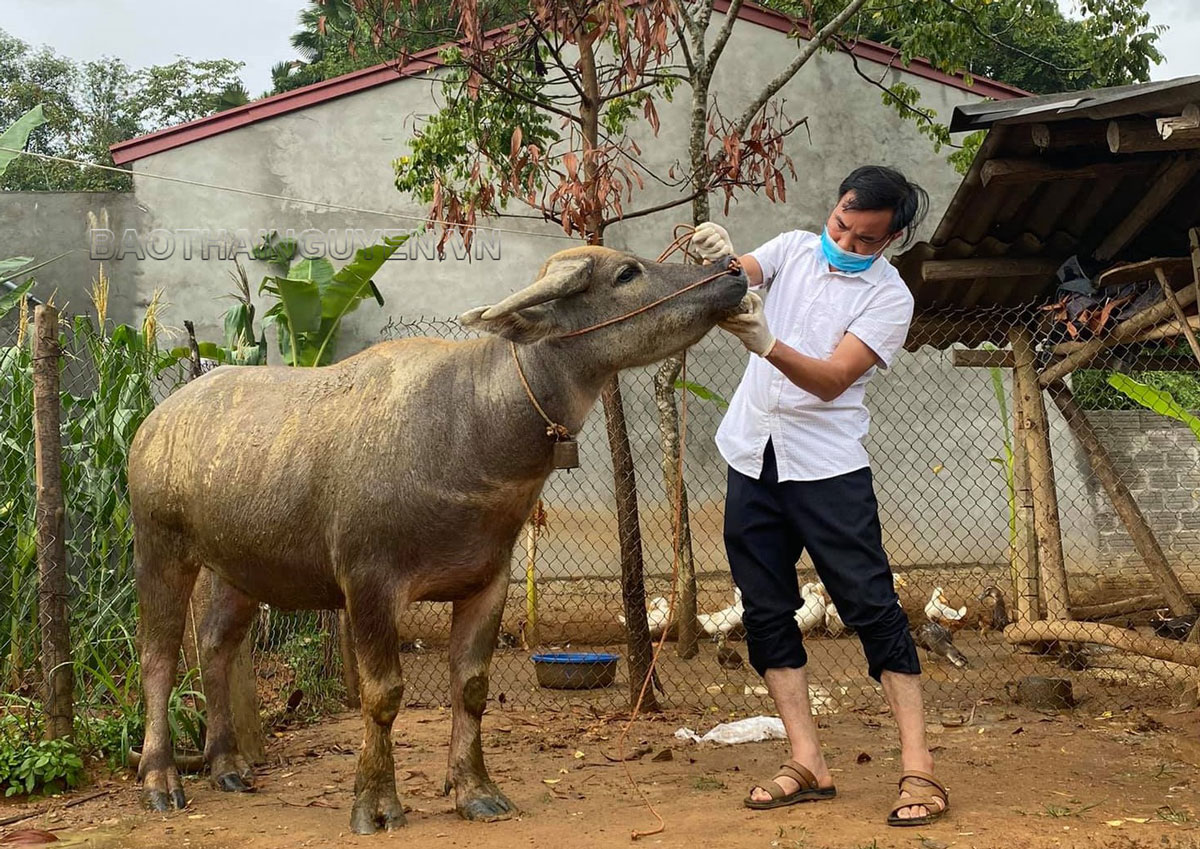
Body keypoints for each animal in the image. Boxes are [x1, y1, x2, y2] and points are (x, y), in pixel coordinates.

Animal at [133, 245, 748, 834]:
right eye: (627, 273)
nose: (731, 270)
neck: (469, 425)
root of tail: (154, 422)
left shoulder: (487, 582)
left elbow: (472, 688)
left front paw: (475, 791)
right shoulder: (369, 584)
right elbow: (383, 695)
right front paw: (376, 804)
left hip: (237, 570)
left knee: (215, 647)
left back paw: (226, 766)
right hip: (159, 548)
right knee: (158, 660)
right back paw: (161, 780)